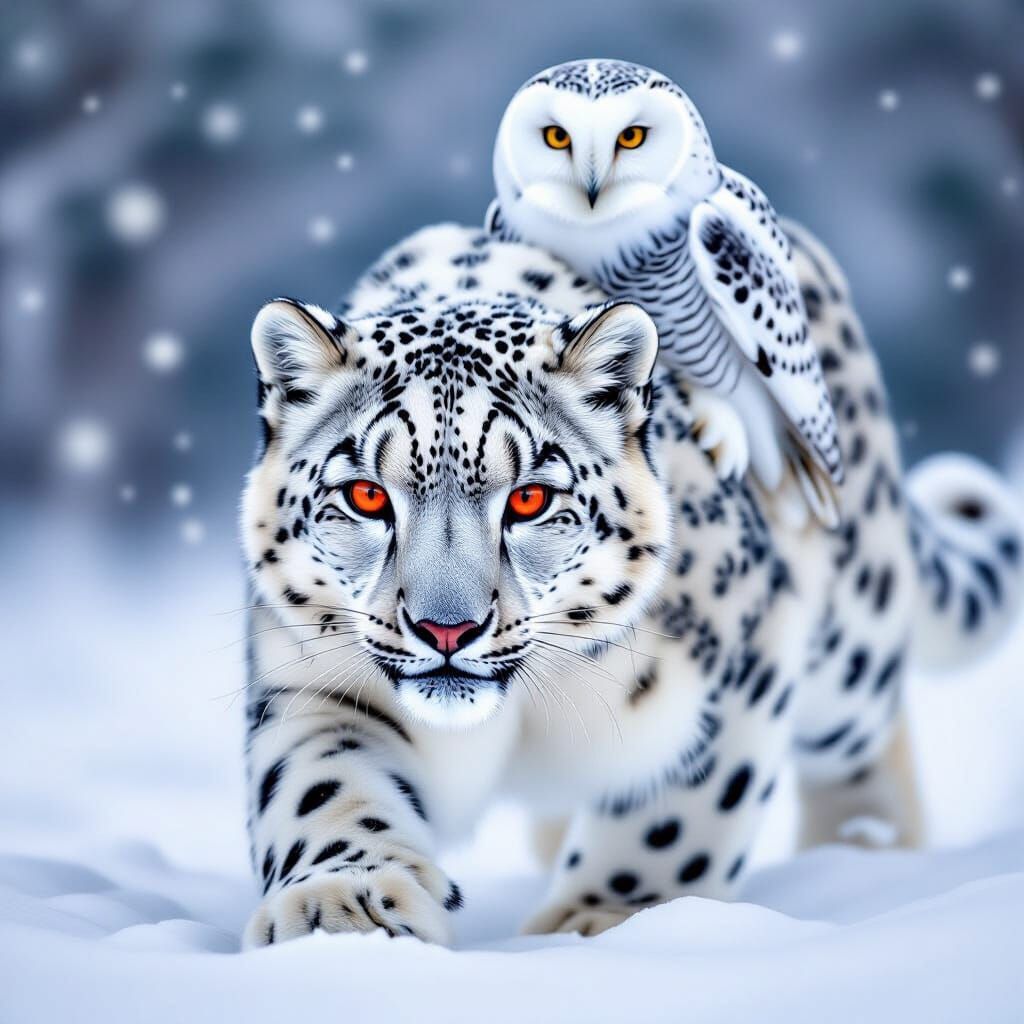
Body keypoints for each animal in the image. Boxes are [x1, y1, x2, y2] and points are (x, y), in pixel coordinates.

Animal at [238, 220, 1022, 947]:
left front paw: (606, 921)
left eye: (530, 498)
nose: (447, 629)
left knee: (864, 734)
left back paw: (863, 849)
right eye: (367, 495)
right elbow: (322, 784)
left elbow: (676, 818)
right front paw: (346, 909)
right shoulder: (319, 681)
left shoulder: (743, 667)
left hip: (853, 635)